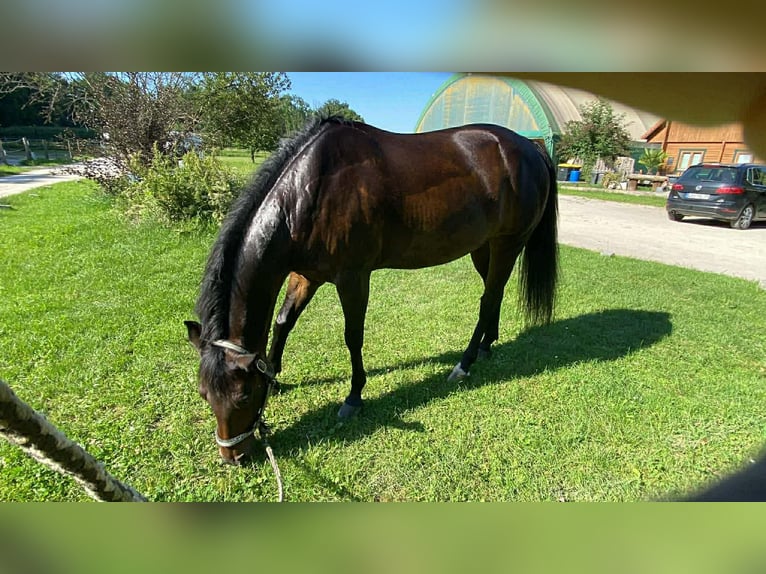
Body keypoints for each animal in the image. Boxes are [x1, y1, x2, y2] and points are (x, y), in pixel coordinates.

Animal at [185, 116, 559, 464]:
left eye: (244, 396)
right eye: (204, 394)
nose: (233, 457)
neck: (312, 189)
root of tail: (529, 147)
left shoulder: (353, 277)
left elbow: (353, 336)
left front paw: (354, 397)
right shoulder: (305, 274)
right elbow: (283, 321)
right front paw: (275, 376)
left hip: (508, 243)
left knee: (488, 299)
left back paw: (464, 364)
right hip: (484, 247)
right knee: (493, 294)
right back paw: (486, 346)